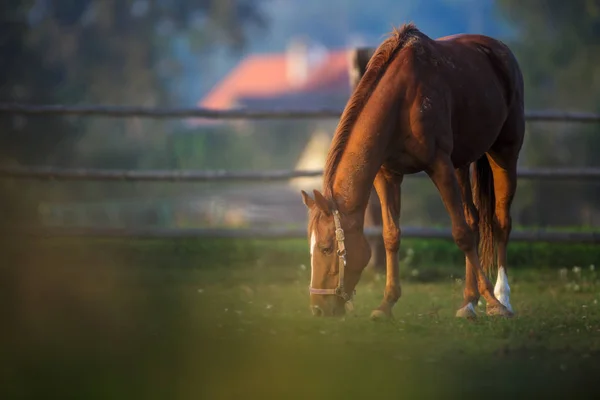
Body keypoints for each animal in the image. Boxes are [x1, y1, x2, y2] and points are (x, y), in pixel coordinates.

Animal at [302, 24, 524, 318]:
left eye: (326, 248)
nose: (317, 309)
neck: (401, 99)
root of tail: (500, 50)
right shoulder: (387, 175)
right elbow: (391, 235)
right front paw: (386, 304)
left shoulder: (439, 165)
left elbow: (461, 234)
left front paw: (493, 301)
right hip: (461, 165)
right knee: (474, 220)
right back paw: (468, 303)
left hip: (504, 153)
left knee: (500, 222)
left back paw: (502, 297)